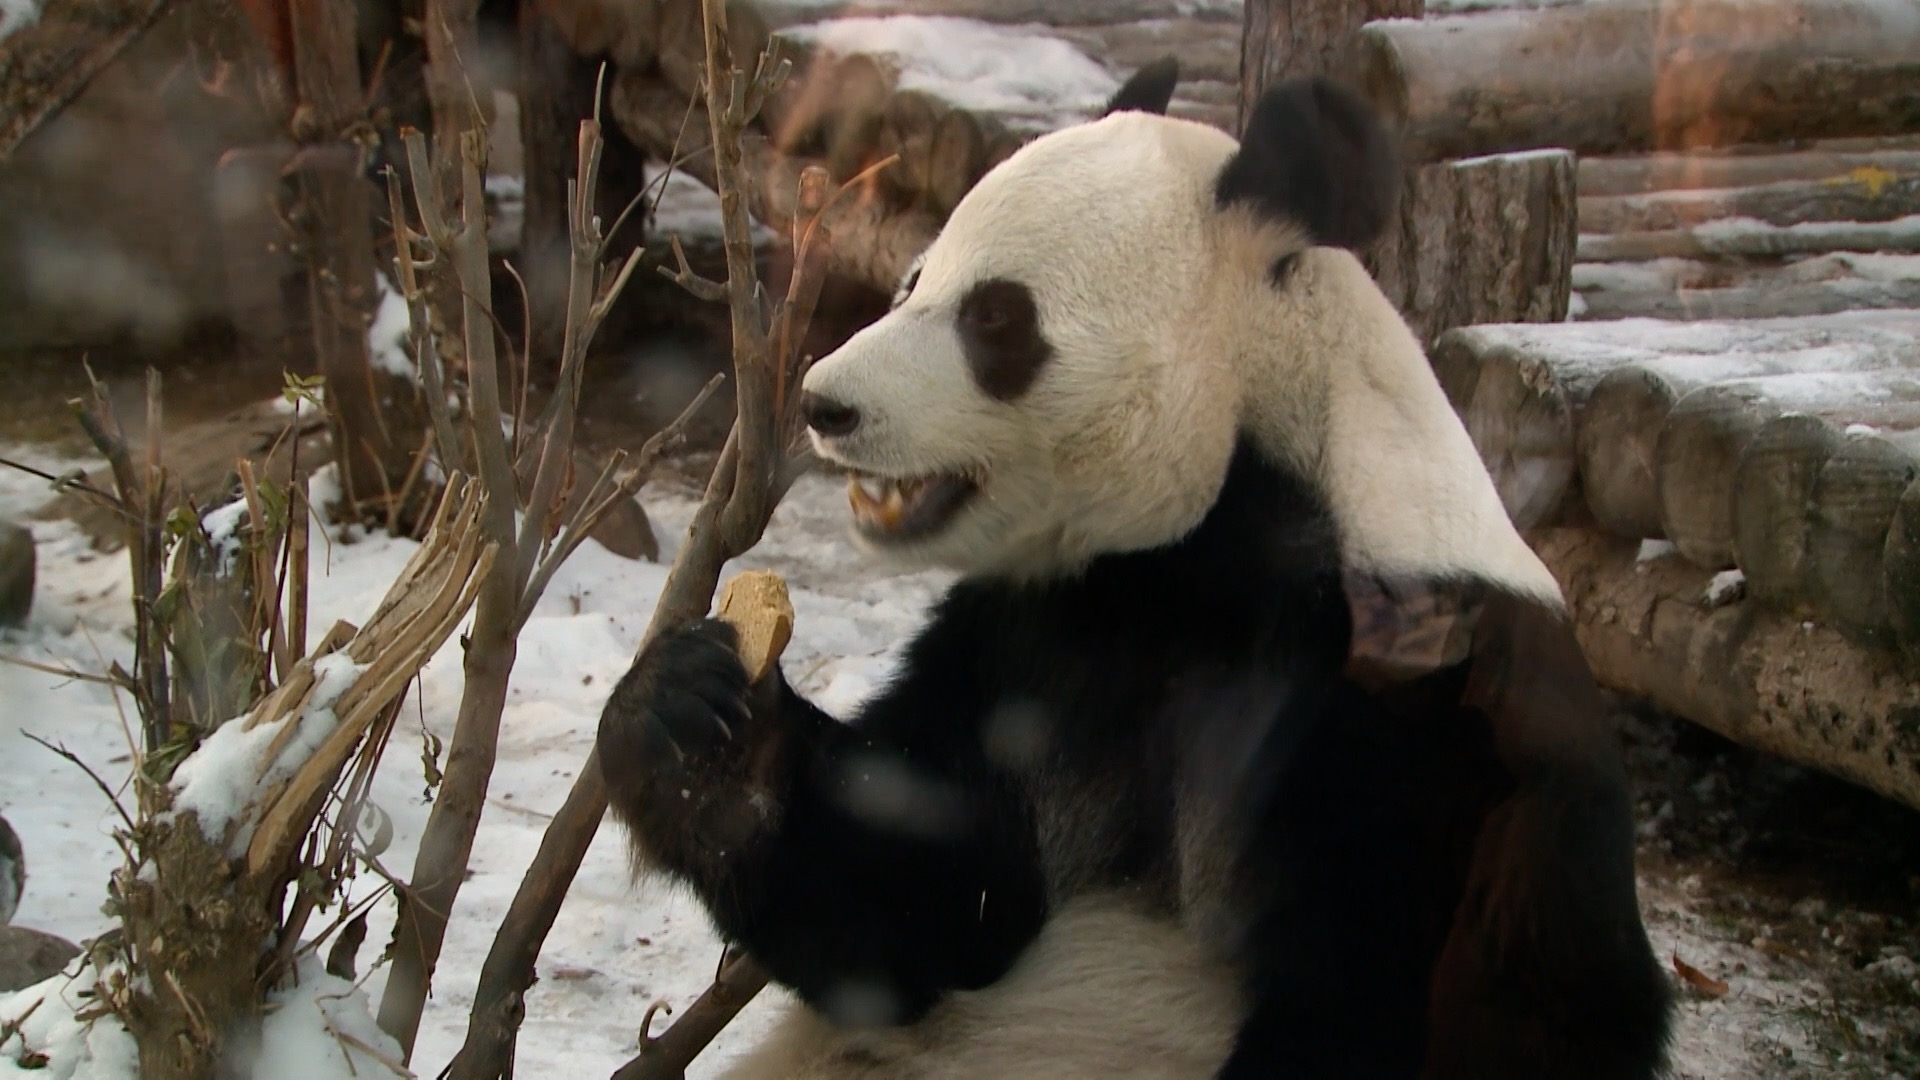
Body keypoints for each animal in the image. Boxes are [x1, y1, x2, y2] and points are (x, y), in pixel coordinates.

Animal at [595, 58, 1666, 1076]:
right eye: (910, 282)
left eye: (995, 317)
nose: (826, 402)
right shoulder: (1036, 636)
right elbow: (929, 910)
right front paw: (696, 719)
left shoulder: (1409, 705)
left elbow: (1365, 1001)